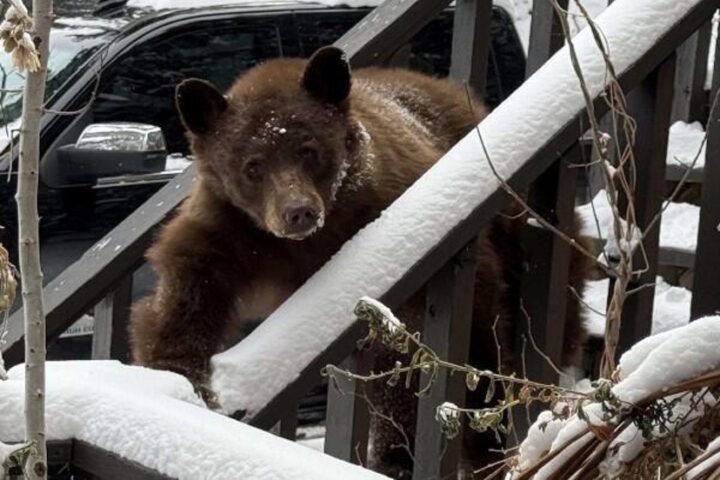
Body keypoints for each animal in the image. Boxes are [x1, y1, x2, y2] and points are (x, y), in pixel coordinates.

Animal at [128, 46, 588, 477]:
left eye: (309, 150)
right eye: (252, 166)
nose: (298, 212)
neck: (306, 245)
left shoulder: (385, 217)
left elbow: (417, 353)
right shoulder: (229, 229)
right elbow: (182, 294)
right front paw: (180, 378)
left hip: (512, 218)